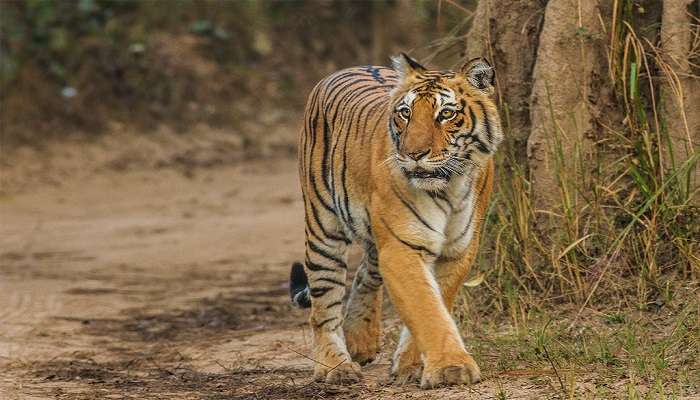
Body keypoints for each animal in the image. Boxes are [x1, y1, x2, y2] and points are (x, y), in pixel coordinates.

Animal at [288, 53, 500, 388]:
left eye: (446, 114)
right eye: (406, 114)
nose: (414, 154)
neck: (449, 188)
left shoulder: (458, 250)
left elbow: (437, 302)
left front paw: (411, 366)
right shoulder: (402, 247)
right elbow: (426, 308)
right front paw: (451, 368)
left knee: (365, 273)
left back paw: (360, 340)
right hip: (323, 227)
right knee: (323, 305)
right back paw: (336, 367)